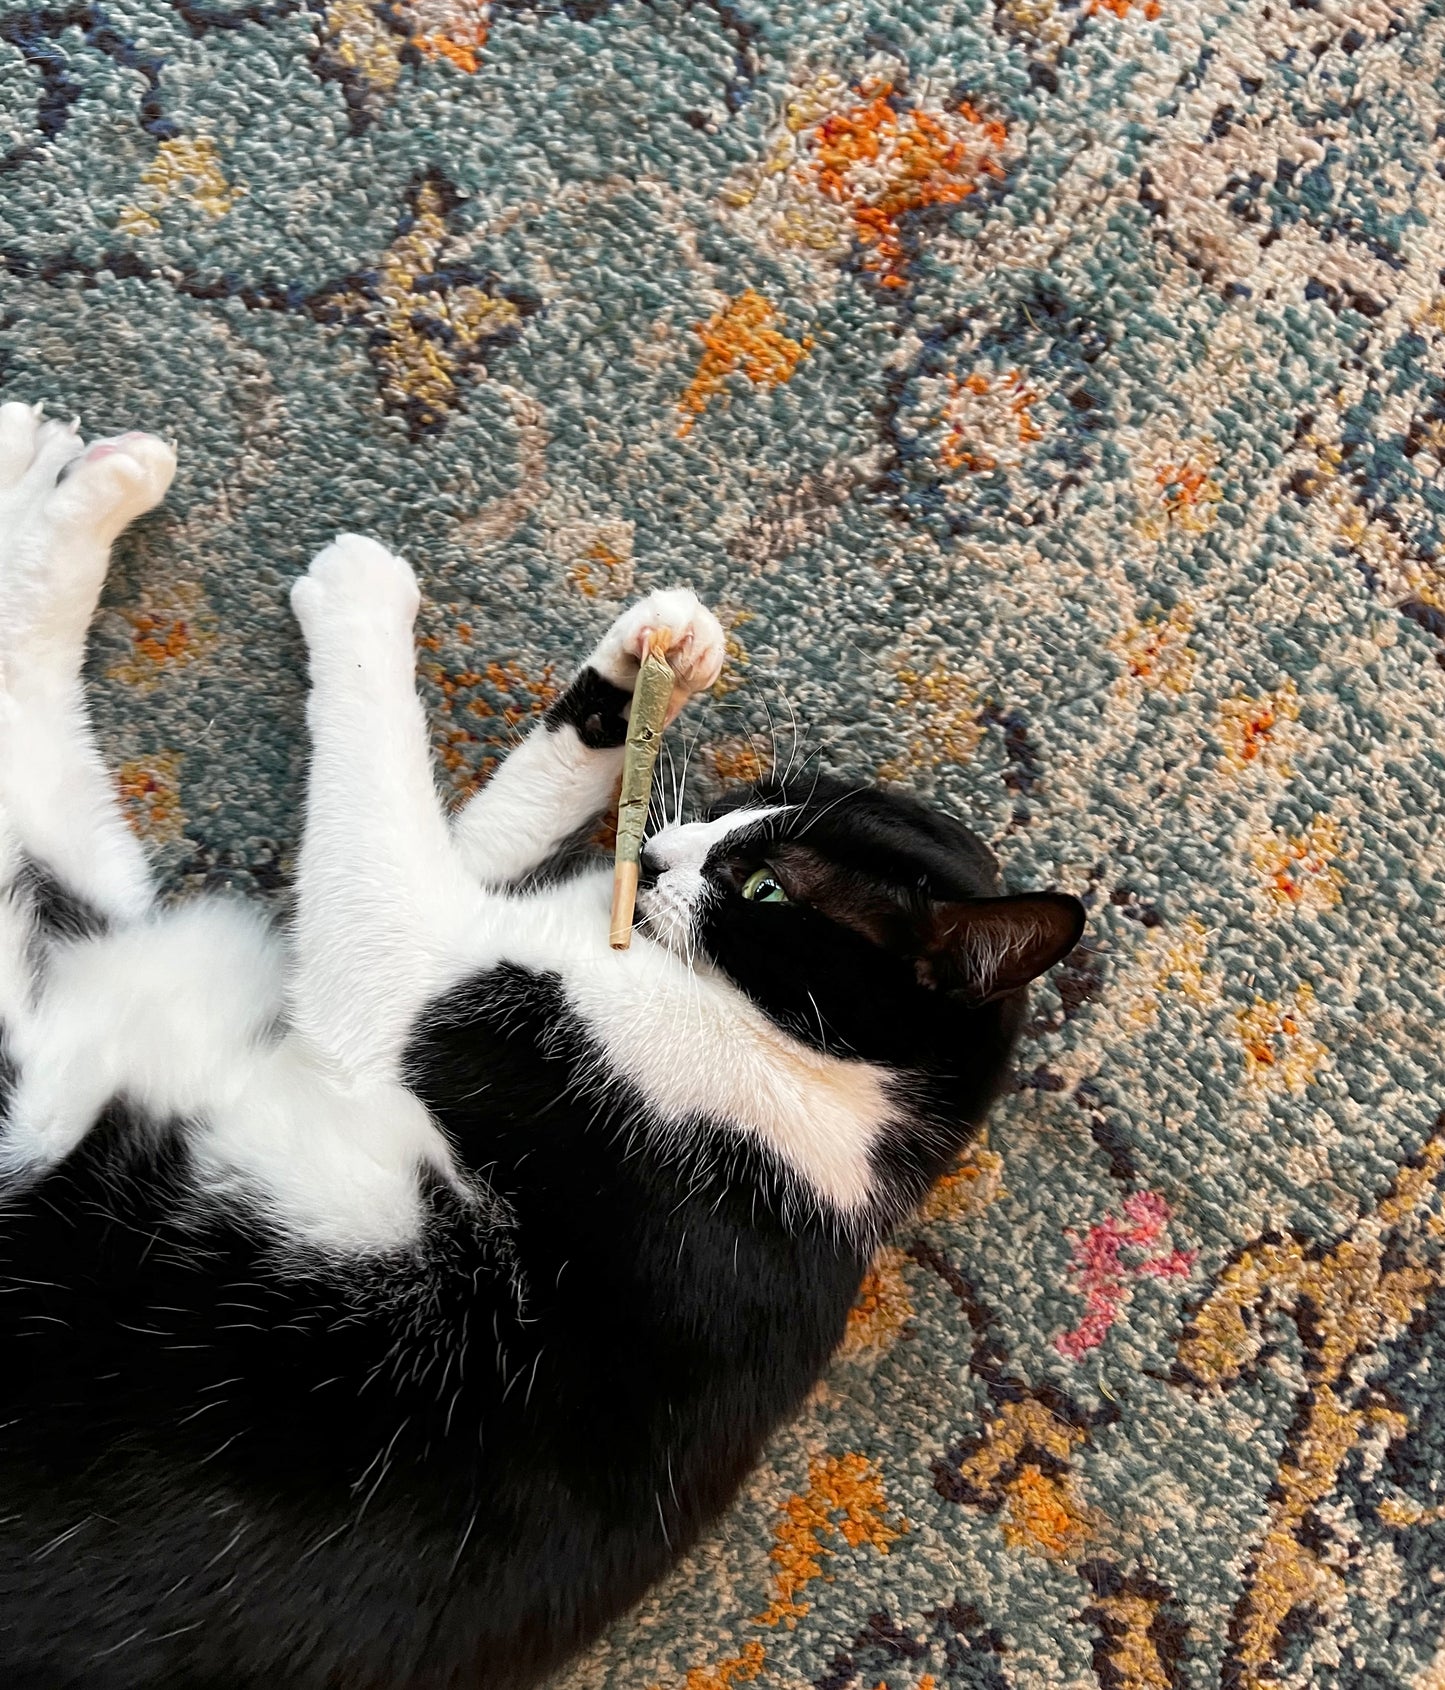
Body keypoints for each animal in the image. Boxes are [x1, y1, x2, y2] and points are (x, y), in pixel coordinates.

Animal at [0, 398, 1081, 1690]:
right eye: (735, 810)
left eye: (766, 888)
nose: (660, 855)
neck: (814, 1085)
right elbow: (454, 833)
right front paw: (638, 669)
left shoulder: (422, 984)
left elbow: (383, 810)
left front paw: (361, 601)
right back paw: (51, 474)